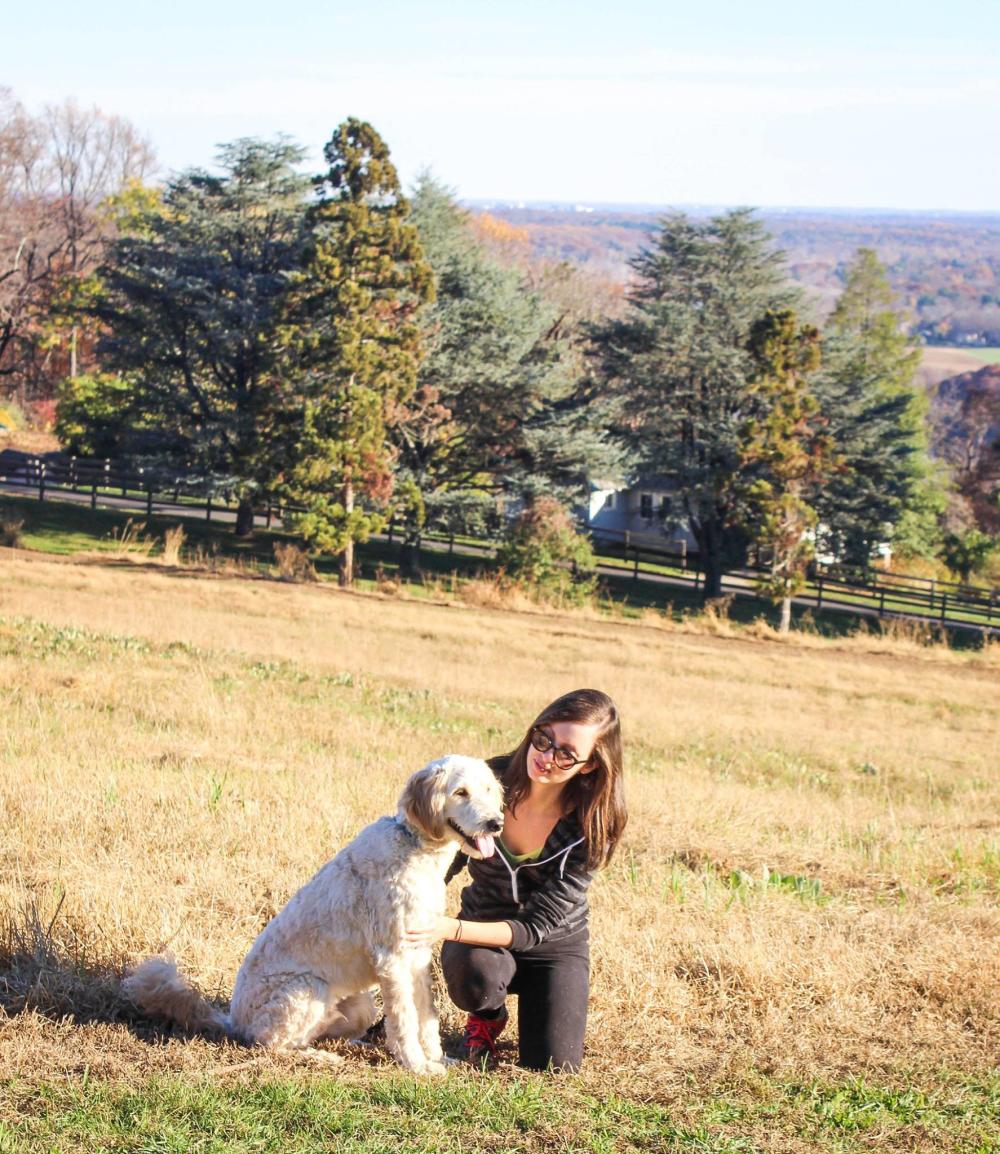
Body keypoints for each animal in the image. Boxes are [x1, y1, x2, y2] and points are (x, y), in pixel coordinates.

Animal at [121, 757, 505, 1070]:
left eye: (488, 789)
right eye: (460, 792)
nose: (496, 823)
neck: (414, 845)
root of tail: (234, 1020)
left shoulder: (419, 956)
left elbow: (427, 1016)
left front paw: (436, 1058)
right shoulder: (393, 958)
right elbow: (405, 1019)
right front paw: (417, 1065)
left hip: (359, 1004)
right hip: (307, 988)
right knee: (271, 1044)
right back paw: (320, 1057)